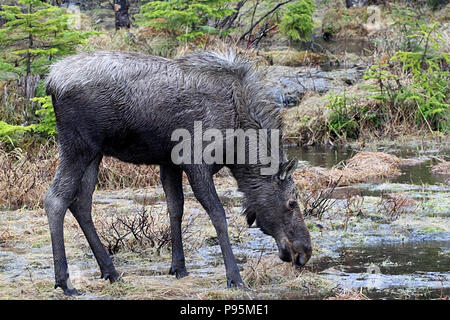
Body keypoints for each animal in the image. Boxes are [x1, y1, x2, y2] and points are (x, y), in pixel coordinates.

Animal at [46, 50, 312, 296]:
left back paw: (111, 272)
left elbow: (175, 209)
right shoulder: (195, 160)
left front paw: (179, 267)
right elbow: (218, 215)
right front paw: (235, 278)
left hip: (95, 153)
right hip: (77, 146)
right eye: (292, 202)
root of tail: (51, 81)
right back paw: (65, 282)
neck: (236, 146)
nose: (304, 252)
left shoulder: (169, 162)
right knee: (55, 199)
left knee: (81, 203)